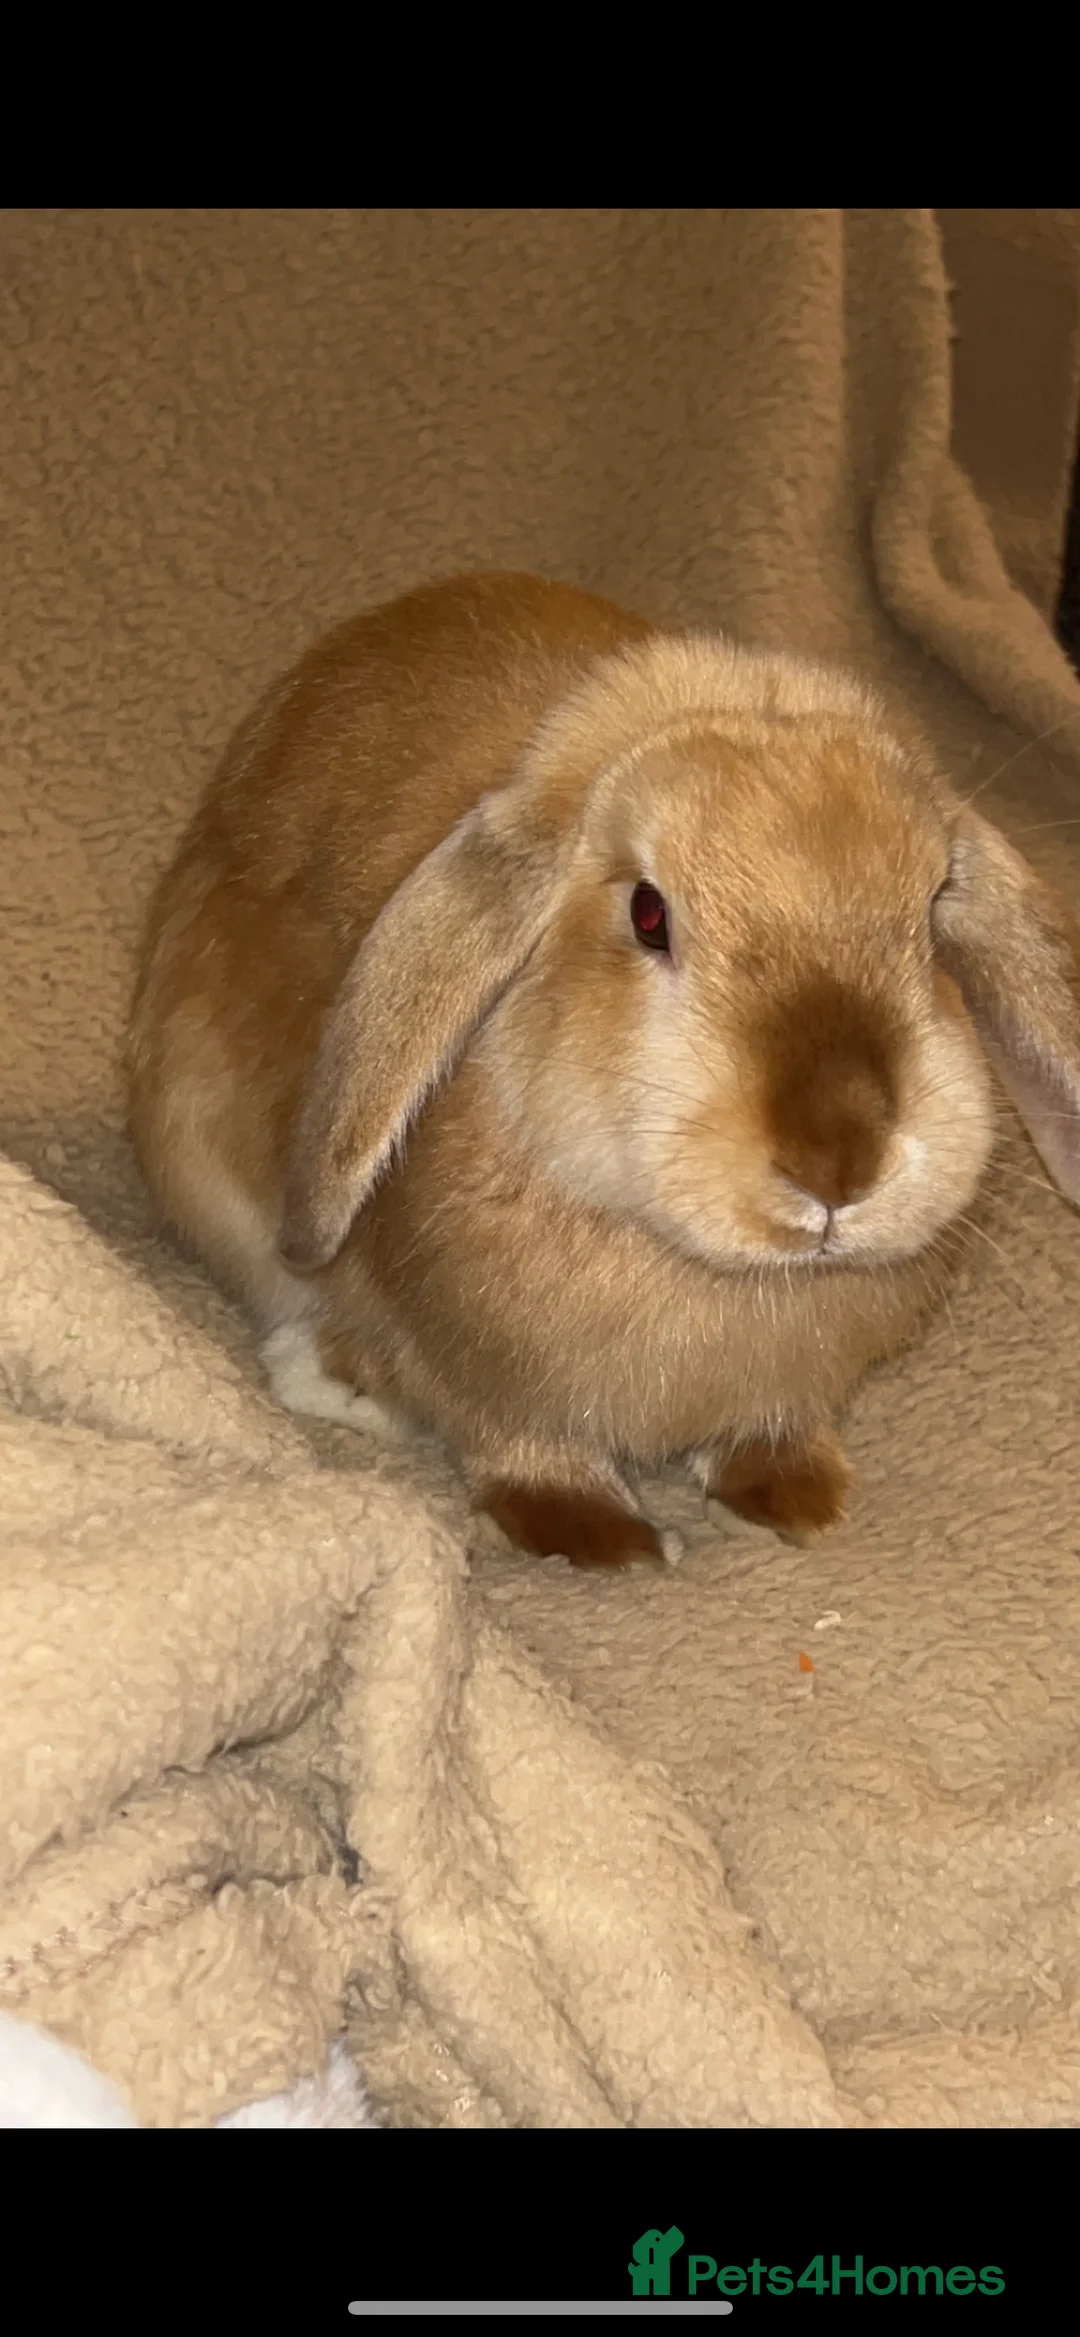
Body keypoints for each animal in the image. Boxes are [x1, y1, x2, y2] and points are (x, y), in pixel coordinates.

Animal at [126, 571, 1080, 1568]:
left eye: (931, 913)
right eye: (649, 914)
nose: (838, 1162)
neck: (716, 1273)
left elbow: (773, 1428)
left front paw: (795, 1497)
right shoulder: (479, 1371)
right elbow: (516, 1438)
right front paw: (598, 1536)